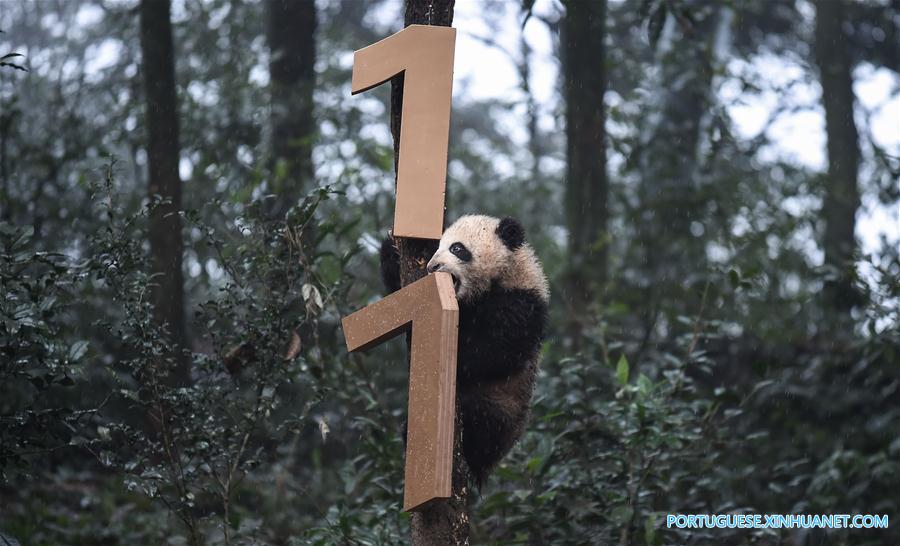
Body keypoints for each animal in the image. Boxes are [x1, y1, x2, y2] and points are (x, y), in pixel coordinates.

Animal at [380, 215, 549, 486]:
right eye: (437, 246)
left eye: (457, 248)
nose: (433, 267)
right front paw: (392, 247)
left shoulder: (521, 303)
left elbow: (495, 352)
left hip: (504, 408)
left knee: (483, 420)